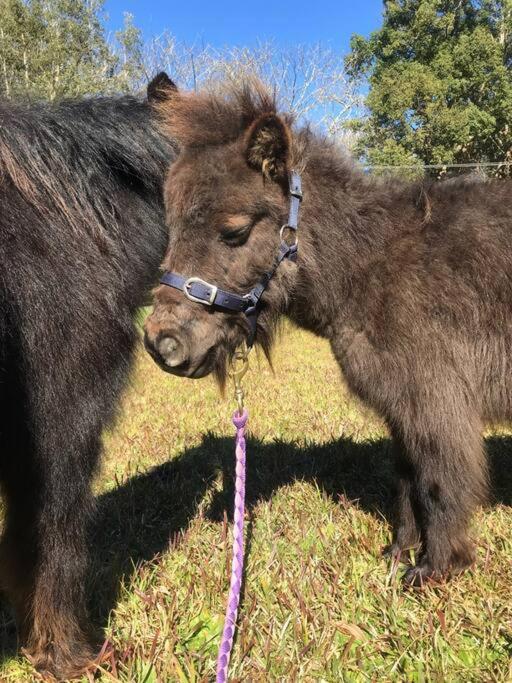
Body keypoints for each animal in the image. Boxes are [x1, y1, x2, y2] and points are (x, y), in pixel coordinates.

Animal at [145, 81, 512, 590]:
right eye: (173, 228)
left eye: (234, 231)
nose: (161, 344)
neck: (369, 262)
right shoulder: (403, 407)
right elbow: (407, 481)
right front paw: (398, 553)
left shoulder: (435, 402)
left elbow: (438, 482)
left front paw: (435, 569)